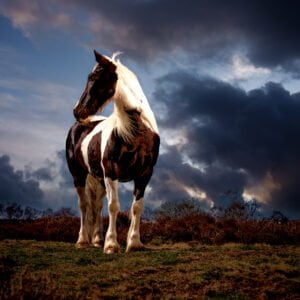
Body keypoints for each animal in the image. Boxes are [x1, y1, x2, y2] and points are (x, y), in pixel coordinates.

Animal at [65, 51, 159, 253]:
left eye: (93, 77)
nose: (77, 111)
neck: (136, 132)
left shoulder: (145, 174)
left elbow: (136, 208)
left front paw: (134, 243)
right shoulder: (111, 172)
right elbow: (114, 206)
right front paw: (111, 245)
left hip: (98, 178)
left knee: (96, 206)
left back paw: (96, 240)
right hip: (79, 175)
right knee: (84, 205)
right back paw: (83, 240)